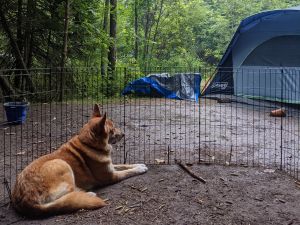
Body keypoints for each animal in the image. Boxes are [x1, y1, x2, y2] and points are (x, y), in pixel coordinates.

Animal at [11, 104, 148, 217]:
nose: (124, 134)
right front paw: (140, 169)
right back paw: (88, 195)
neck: (88, 144)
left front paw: (139, 164)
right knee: (69, 196)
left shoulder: (111, 166)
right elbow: (128, 172)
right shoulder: (111, 176)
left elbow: (125, 165)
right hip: (62, 164)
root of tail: (25, 200)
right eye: (112, 129)